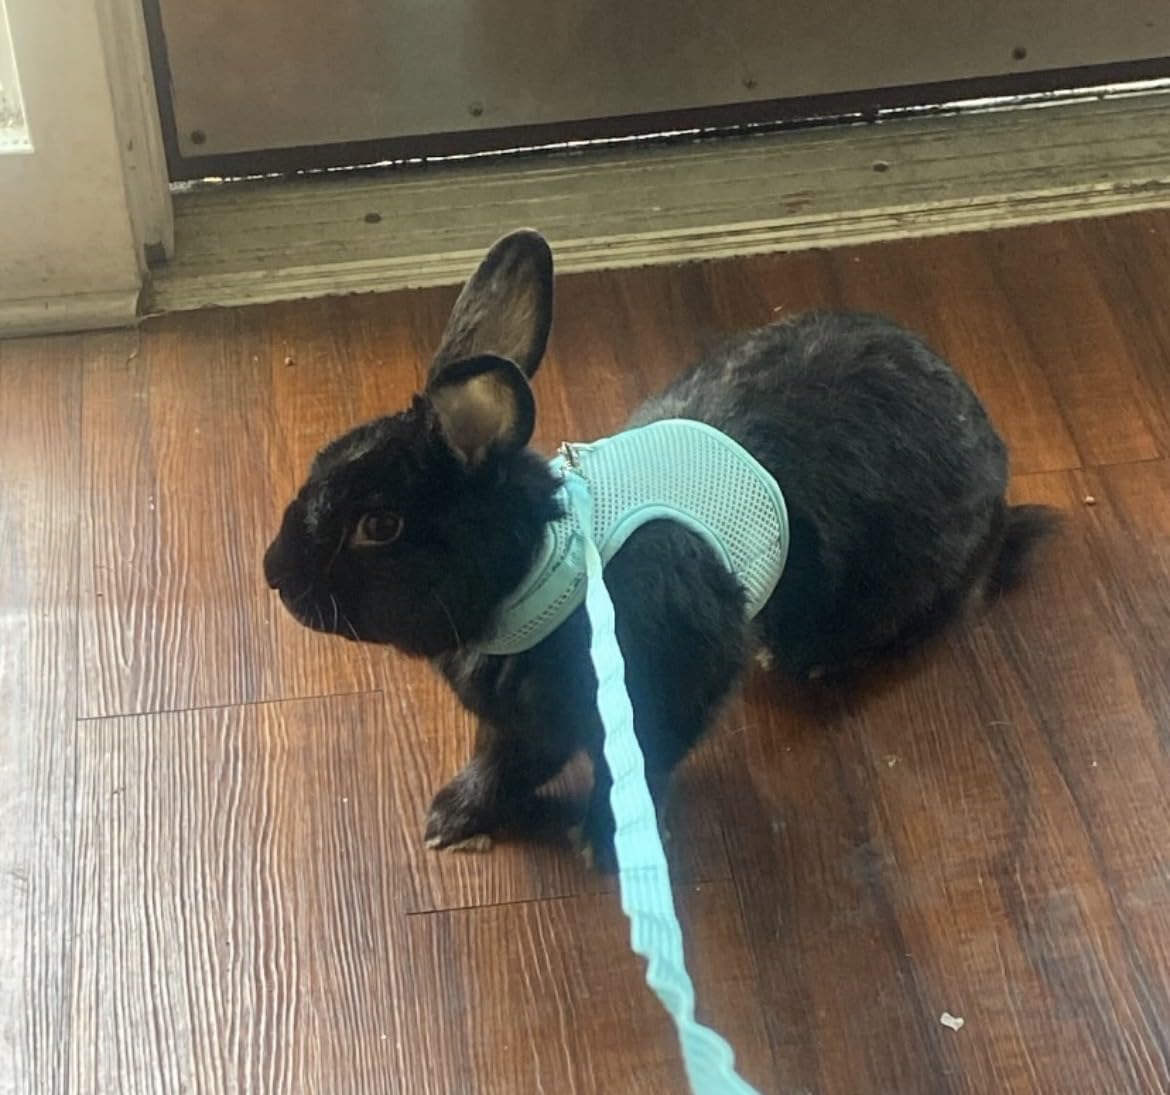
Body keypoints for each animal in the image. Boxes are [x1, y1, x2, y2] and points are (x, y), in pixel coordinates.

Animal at [263, 228, 1057, 870]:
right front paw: (453, 817)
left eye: (379, 524)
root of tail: (997, 476)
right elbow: (503, 762)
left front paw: (601, 844)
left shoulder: (662, 692)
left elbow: (632, 770)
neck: (545, 563)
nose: (274, 574)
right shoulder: (520, 724)